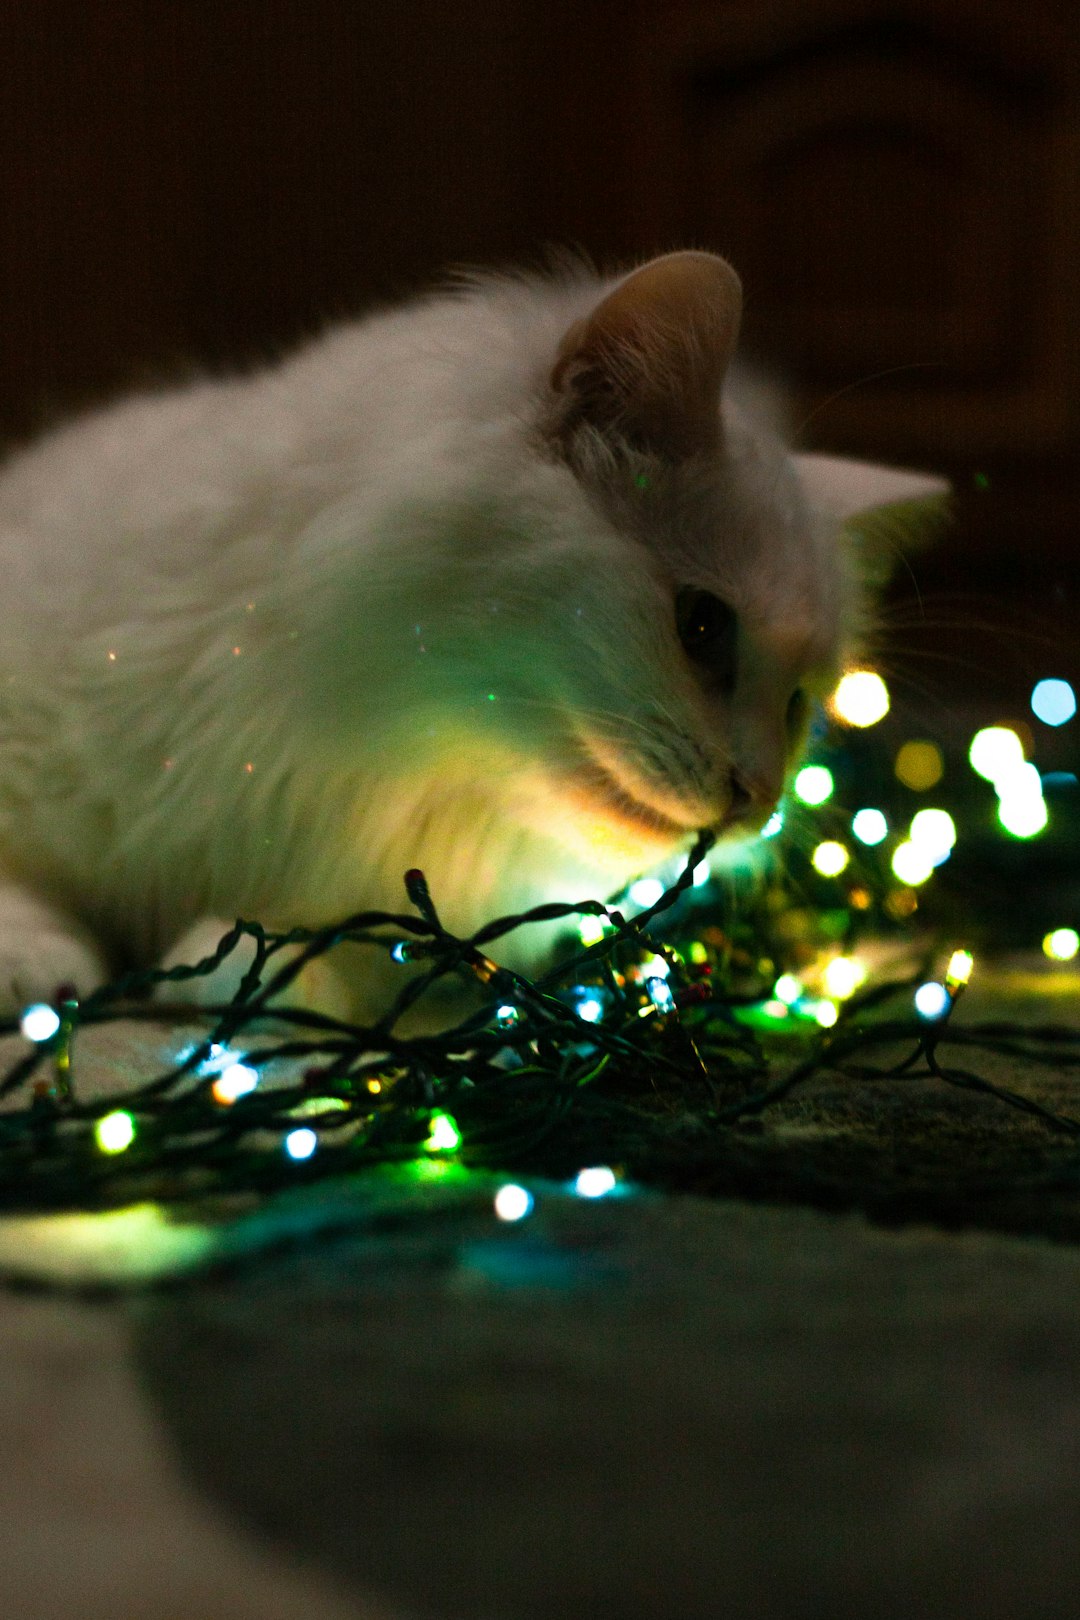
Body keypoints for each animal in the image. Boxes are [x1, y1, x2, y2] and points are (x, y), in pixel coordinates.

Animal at [0, 247, 939, 1017]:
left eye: (799, 705)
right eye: (702, 625)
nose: (757, 799)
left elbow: (345, 948)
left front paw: (242, 969)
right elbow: (21, 882)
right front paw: (45, 968)